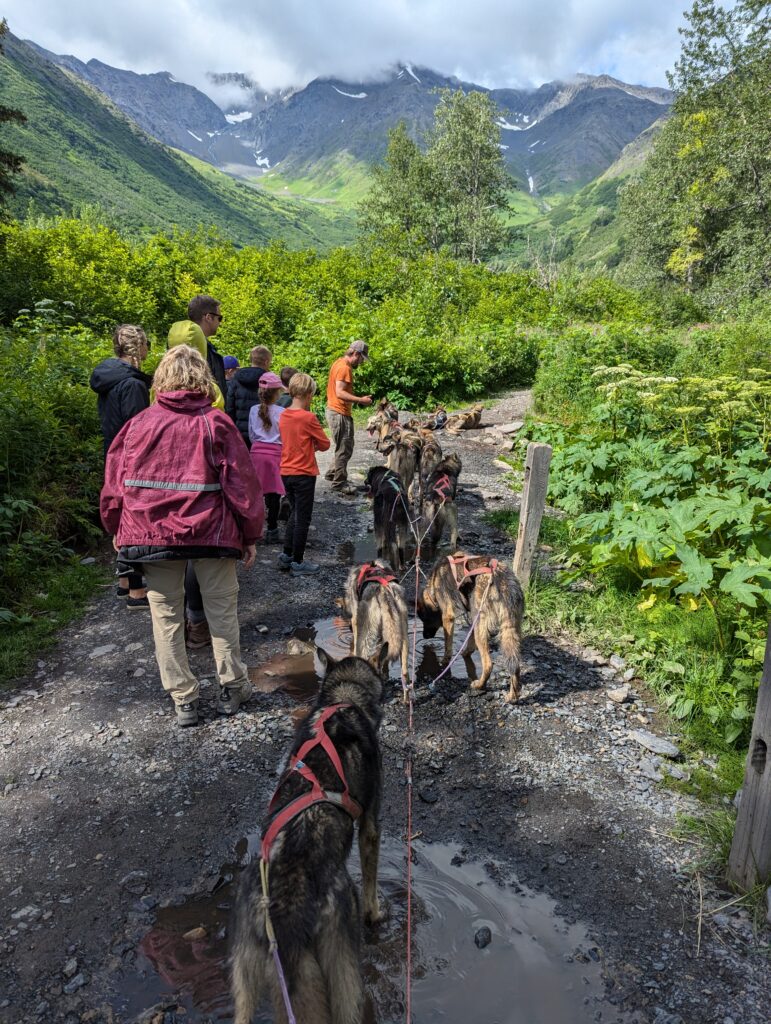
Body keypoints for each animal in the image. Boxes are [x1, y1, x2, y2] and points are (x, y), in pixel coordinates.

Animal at [228, 647, 384, 1024]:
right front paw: (376, 914)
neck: (344, 699)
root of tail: (283, 919)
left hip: (243, 981)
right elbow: (372, 882)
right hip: (343, 972)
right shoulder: (370, 825)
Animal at [415, 552, 524, 704]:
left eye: (424, 619)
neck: (433, 585)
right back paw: (513, 695)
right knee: (515, 664)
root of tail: (503, 581)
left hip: (481, 626)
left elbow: (448, 646)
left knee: (488, 664)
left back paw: (479, 685)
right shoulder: (472, 617)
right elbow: (469, 643)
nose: (425, 637)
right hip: (509, 628)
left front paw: (445, 662)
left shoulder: (448, 616)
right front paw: (465, 652)